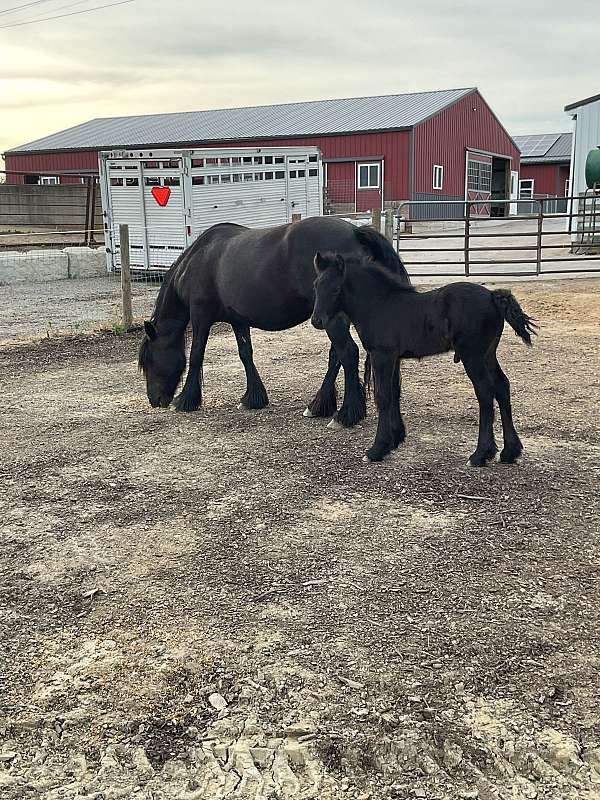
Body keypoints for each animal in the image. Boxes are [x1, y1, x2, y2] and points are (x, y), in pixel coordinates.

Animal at [138, 217, 410, 427]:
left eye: (149, 360)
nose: (154, 400)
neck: (199, 260)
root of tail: (354, 231)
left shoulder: (200, 316)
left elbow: (196, 355)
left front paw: (186, 400)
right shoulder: (238, 320)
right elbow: (245, 353)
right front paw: (253, 398)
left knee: (348, 353)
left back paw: (345, 415)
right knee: (336, 356)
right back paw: (318, 405)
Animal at [311, 251, 537, 464]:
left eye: (335, 289)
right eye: (316, 285)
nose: (316, 320)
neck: (379, 304)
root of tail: (492, 296)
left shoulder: (382, 355)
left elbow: (383, 396)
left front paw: (377, 449)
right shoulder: (394, 357)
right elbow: (394, 393)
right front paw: (394, 441)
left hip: (473, 355)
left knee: (485, 392)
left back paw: (480, 455)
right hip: (488, 354)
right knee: (502, 386)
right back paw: (510, 452)